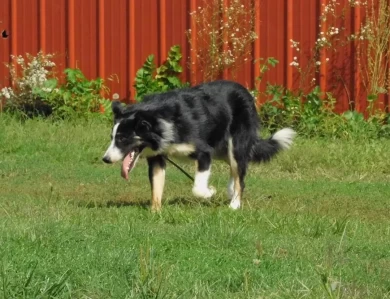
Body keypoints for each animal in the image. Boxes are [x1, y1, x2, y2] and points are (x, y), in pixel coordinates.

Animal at [102, 79, 294, 211]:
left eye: (122, 139)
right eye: (112, 137)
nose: (105, 159)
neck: (157, 120)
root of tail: (246, 92)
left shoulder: (204, 152)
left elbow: (197, 187)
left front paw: (210, 192)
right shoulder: (157, 157)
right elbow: (156, 185)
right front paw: (155, 212)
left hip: (235, 144)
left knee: (240, 171)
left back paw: (234, 203)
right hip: (221, 149)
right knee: (238, 168)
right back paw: (231, 190)